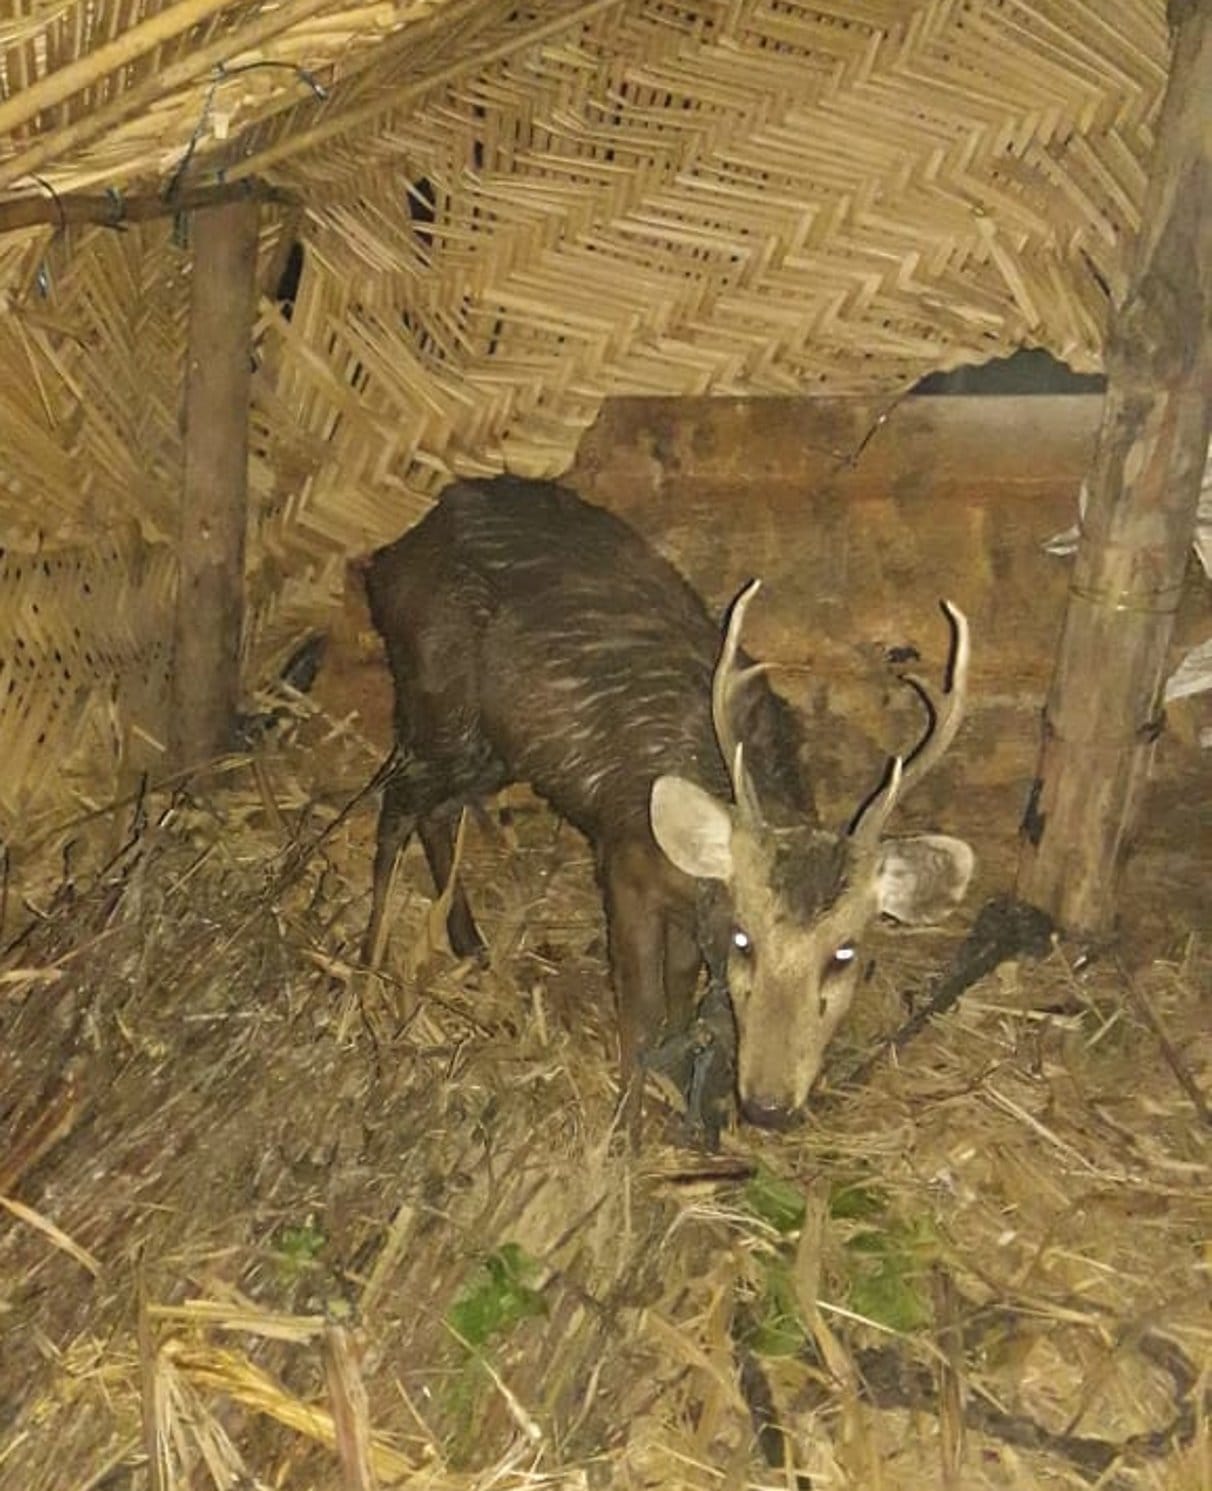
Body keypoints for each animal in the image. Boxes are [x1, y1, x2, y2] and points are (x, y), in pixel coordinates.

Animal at [362, 474, 973, 1129]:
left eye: (845, 952)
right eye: (744, 941)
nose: (768, 1105)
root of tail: (392, 556)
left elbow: (680, 984)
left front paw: (679, 1085)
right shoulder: (624, 859)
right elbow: (642, 1002)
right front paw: (627, 1120)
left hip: (495, 746)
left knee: (438, 809)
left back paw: (469, 944)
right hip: (439, 698)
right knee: (397, 802)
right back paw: (367, 964)